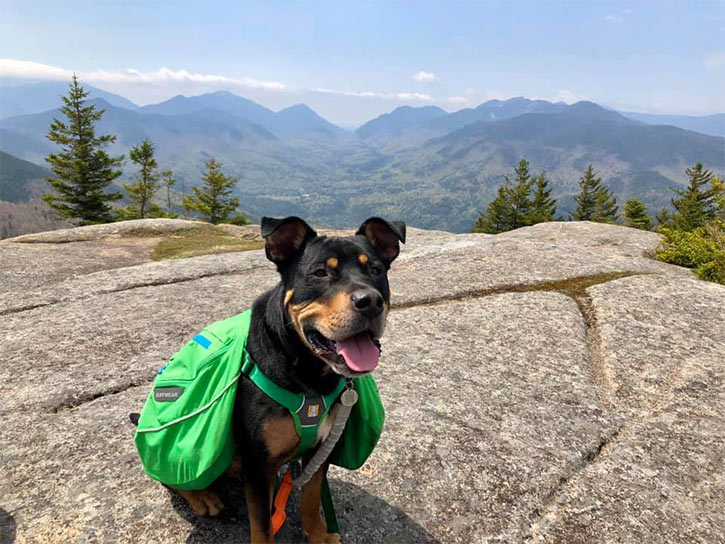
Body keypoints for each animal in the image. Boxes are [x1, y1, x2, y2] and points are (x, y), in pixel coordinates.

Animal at [172, 217, 404, 544]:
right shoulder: (258, 465)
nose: (370, 301)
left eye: (376, 270)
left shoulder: (321, 448)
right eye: (320, 273)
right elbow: (262, 526)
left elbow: (310, 496)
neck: (309, 375)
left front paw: (318, 534)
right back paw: (202, 496)